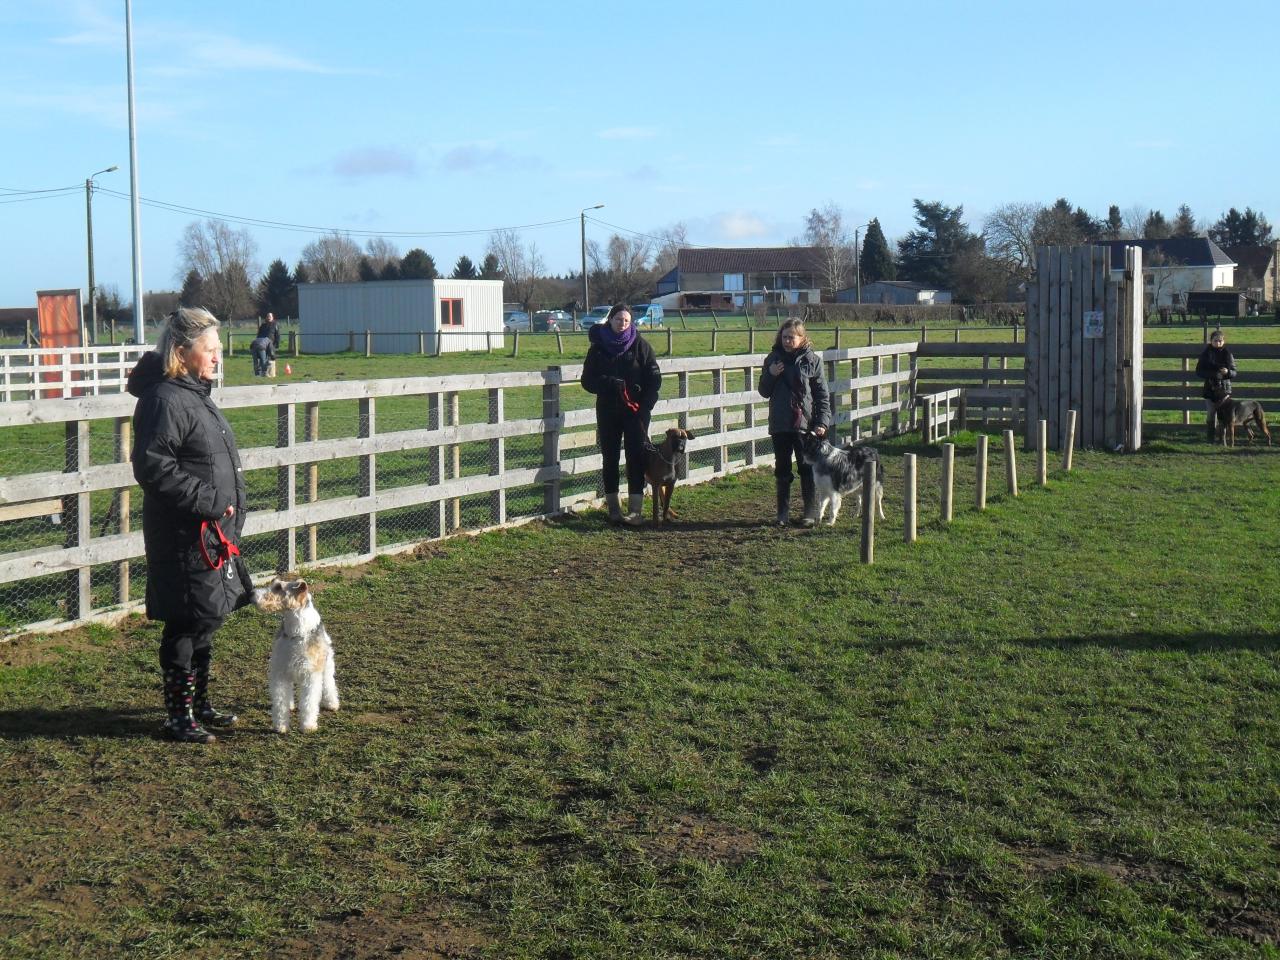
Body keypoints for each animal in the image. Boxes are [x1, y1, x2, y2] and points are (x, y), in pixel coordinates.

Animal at [252, 577, 340, 734]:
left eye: (278, 587)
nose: (252, 593)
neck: (296, 632)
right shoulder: (280, 673)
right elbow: (280, 701)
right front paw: (280, 726)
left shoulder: (311, 675)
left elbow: (309, 702)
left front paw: (308, 726)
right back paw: (291, 704)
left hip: (327, 665)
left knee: (329, 684)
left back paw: (332, 704)